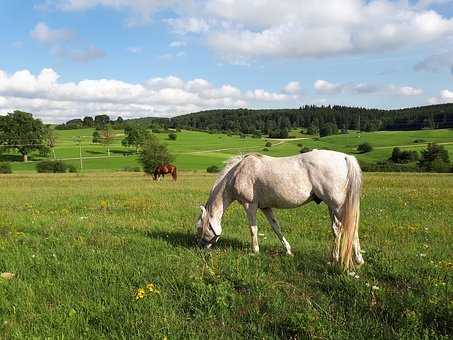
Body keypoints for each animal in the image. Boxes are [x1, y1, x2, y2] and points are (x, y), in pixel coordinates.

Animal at [195, 151, 364, 270]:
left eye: (199, 227)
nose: (200, 247)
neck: (238, 173)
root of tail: (344, 157)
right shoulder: (265, 208)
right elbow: (276, 228)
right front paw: (288, 251)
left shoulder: (250, 205)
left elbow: (253, 229)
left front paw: (254, 251)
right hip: (332, 206)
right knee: (339, 229)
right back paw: (343, 259)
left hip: (337, 206)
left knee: (347, 228)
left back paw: (349, 259)